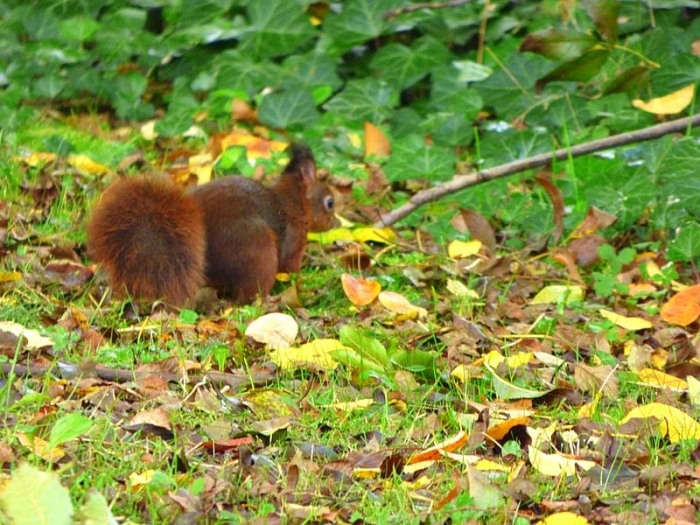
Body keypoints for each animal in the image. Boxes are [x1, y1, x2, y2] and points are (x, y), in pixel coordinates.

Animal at [87, 144, 336, 306]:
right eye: (330, 202)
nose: (334, 222)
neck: (294, 202)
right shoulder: (294, 237)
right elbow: (290, 267)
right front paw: (304, 282)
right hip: (258, 247)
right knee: (249, 294)